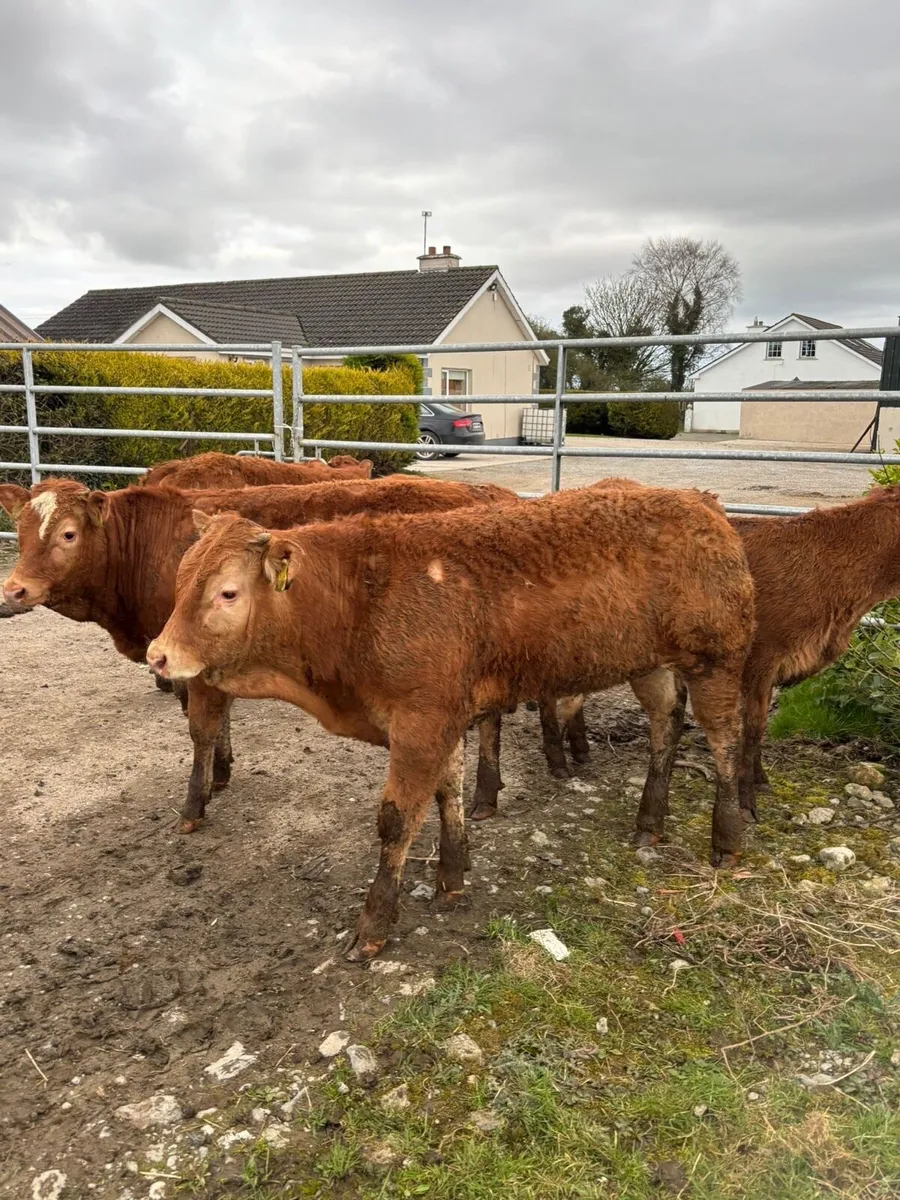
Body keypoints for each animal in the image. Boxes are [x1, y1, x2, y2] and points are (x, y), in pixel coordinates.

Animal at [0, 474, 519, 833]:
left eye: (68, 534)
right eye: (19, 531)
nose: (14, 589)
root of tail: (488, 493)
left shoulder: (196, 665)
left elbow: (201, 728)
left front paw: (195, 802)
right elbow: (218, 722)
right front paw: (222, 770)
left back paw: (485, 791)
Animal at [146, 486, 755, 959]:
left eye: (227, 592)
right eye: (179, 580)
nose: (158, 655)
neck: (357, 603)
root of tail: (702, 503)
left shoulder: (422, 720)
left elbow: (397, 820)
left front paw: (374, 923)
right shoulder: (441, 716)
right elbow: (446, 793)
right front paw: (453, 874)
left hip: (718, 659)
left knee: (725, 739)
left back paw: (726, 837)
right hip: (651, 662)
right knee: (665, 724)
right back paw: (650, 818)